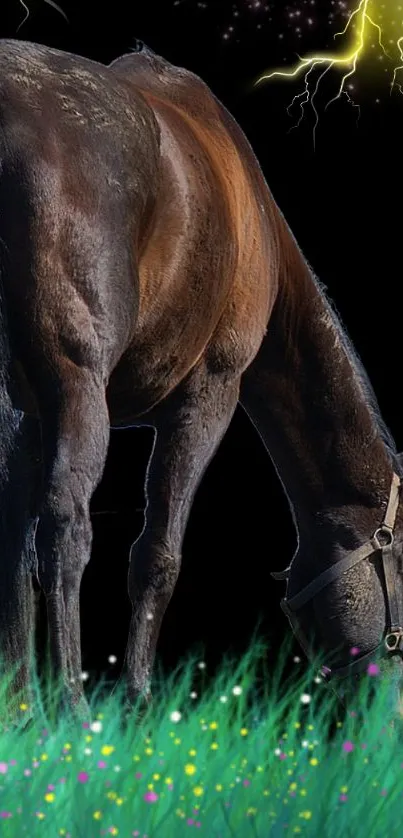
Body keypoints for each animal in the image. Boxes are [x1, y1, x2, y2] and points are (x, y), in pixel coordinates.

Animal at [0, 36, 403, 724]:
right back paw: (75, 709)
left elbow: (13, 540)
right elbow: (156, 555)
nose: (382, 712)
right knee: (67, 528)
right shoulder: (208, 395)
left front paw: (20, 707)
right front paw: (136, 700)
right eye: (399, 559)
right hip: (80, 394)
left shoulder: (26, 413)